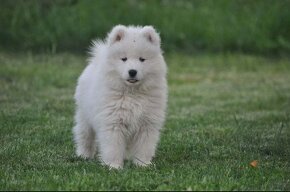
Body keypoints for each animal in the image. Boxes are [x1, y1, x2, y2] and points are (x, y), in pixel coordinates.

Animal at [72, 24, 168, 169]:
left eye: (142, 59)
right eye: (124, 59)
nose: (132, 72)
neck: (132, 94)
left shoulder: (147, 123)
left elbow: (144, 147)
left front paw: (142, 164)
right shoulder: (113, 121)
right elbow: (113, 146)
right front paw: (114, 166)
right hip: (85, 116)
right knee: (84, 135)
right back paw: (84, 154)